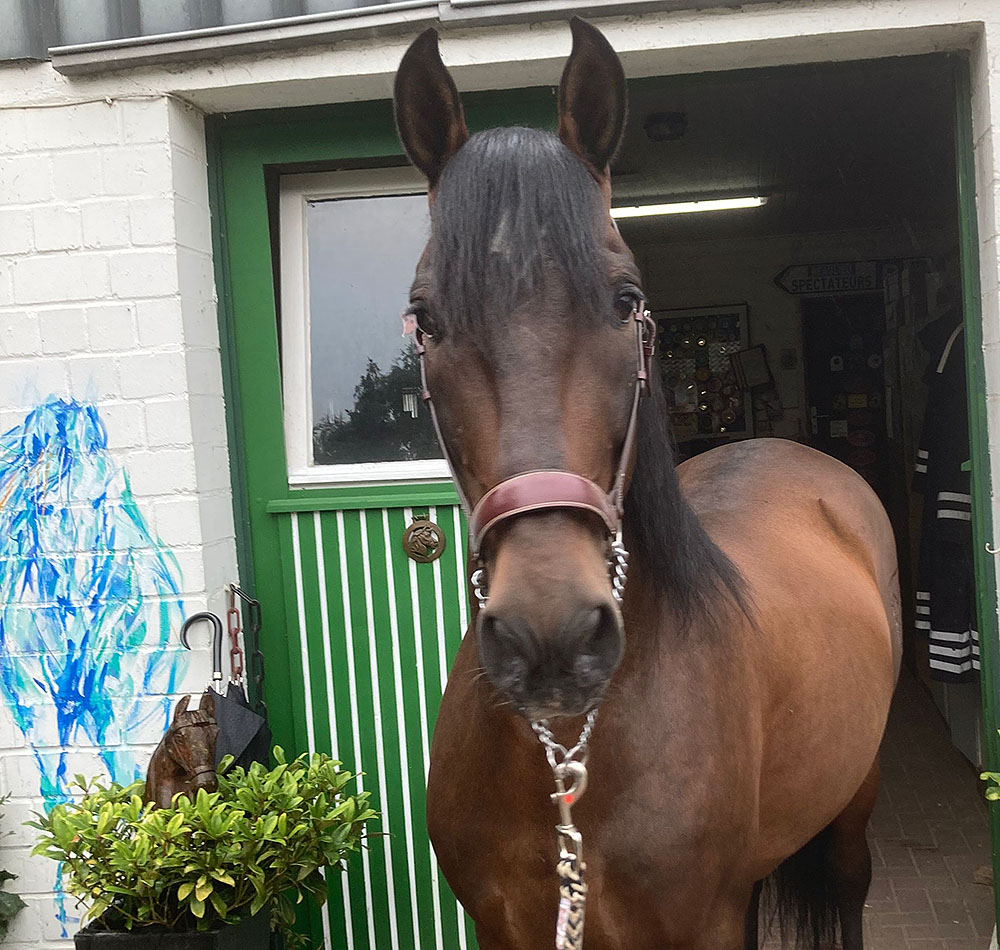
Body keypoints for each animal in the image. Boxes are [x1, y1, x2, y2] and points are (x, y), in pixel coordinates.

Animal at [392, 18, 901, 950]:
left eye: (626, 299)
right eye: (426, 318)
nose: (550, 633)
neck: (570, 757)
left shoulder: (700, 922)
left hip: (854, 801)